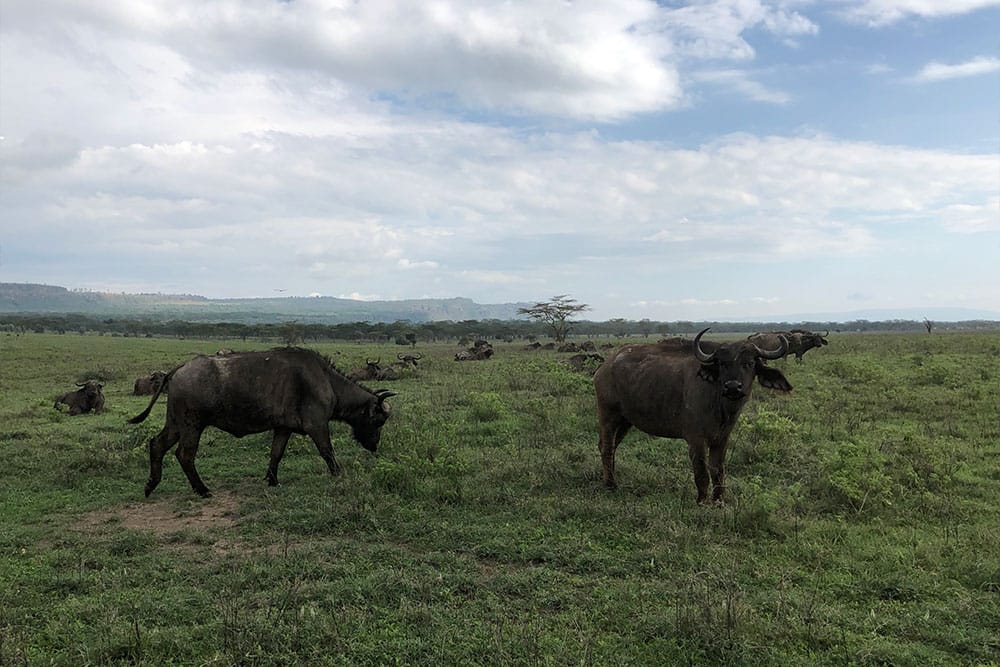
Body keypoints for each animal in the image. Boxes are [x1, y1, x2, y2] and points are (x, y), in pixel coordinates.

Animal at [129, 350, 398, 496]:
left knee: (156, 445)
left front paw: (272, 479)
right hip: (192, 427)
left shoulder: (283, 428)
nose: (374, 446)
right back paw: (202, 489)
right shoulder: (317, 426)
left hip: (176, 425)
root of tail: (178, 370)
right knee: (184, 455)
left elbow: (275, 453)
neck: (327, 381)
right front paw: (338, 475)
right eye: (379, 420)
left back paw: (150, 485)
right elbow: (327, 452)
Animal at [592, 328, 788, 506]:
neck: (719, 406)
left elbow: (718, 470)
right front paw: (701, 501)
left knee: (611, 446)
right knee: (607, 447)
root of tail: (605, 367)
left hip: (625, 421)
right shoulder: (696, 439)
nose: (733, 387)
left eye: (749, 362)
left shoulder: (722, 439)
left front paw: (718, 501)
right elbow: (701, 472)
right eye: (722, 364)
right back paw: (611, 484)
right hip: (608, 415)